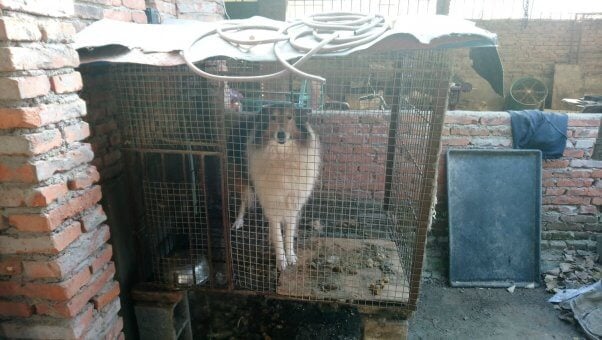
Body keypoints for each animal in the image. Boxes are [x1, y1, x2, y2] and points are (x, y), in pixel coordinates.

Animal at [230, 103, 322, 270]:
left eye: (290, 117)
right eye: (272, 117)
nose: (281, 135)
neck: (282, 155)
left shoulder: (293, 201)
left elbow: (288, 234)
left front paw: (290, 255)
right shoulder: (271, 199)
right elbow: (278, 236)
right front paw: (281, 261)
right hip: (243, 179)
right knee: (244, 201)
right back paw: (239, 221)